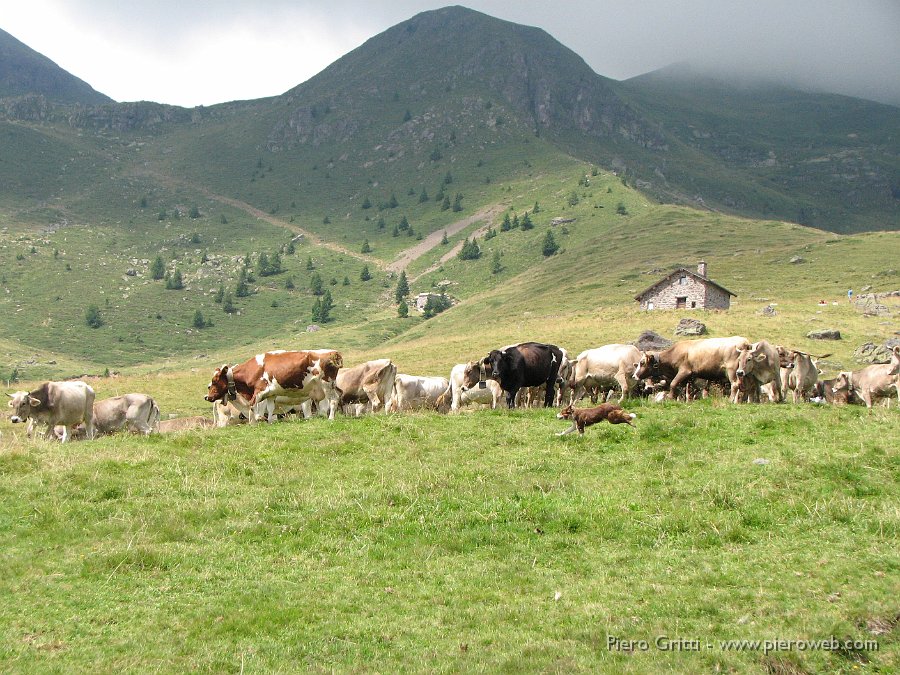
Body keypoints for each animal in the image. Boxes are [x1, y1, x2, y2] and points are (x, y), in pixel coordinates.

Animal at [206, 348, 342, 422]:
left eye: (214, 381)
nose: (207, 397)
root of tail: (333, 353)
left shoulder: (260, 390)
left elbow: (253, 406)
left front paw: (259, 418)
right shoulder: (271, 394)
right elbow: (270, 408)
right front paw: (270, 421)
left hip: (326, 384)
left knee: (333, 400)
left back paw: (331, 418)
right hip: (326, 387)